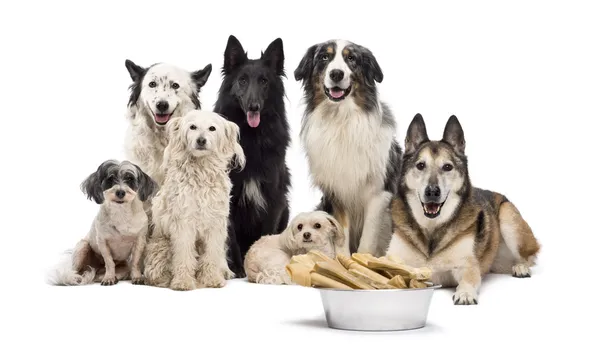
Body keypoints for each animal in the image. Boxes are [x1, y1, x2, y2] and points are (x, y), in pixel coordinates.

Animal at [214, 35, 292, 278]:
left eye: (264, 81)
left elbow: (265, 234)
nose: (253, 106)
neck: (251, 139)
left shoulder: (273, 197)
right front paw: (237, 269)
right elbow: (231, 237)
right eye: (242, 81)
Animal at [386, 114, 540, 304]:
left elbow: (469, 277)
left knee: (528, 256)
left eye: (447, 167)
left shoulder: (466, 265)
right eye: (420, 165)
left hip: (507, 215)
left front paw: (465, 293)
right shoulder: (393, 258)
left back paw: (521, 267)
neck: (431, 230)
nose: (432, 191)